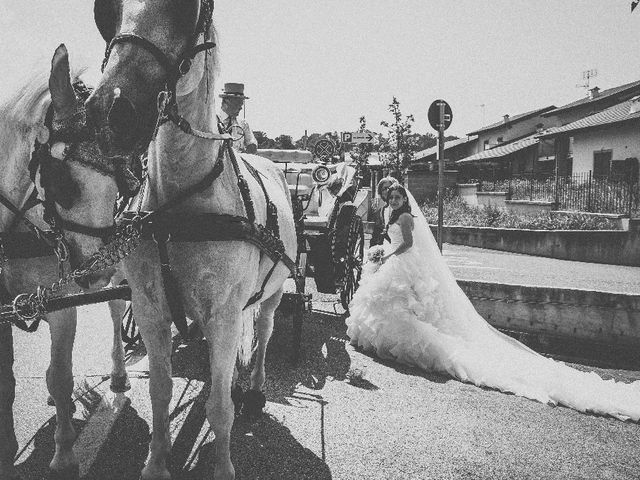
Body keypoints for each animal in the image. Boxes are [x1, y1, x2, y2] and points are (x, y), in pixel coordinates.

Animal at [0, 46, 131, 480]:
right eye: (60, 177)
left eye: (120, 180)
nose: (94, 271)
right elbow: (7, 380)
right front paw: (7, 448)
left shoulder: (64, 304)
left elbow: (61, 376)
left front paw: (64, 456)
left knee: (116, 311)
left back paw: (119, 375)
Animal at [80, 1, 298, 478]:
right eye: (107, 13)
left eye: (185, 10)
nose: (109, 112)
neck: (178, 212)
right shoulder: (150, 308)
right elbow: (160, 393)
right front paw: (156, 462)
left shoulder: (225, 312)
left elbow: (218, 406)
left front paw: (222, 465)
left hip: (272, 291)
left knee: (266, 330)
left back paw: (254, 388)